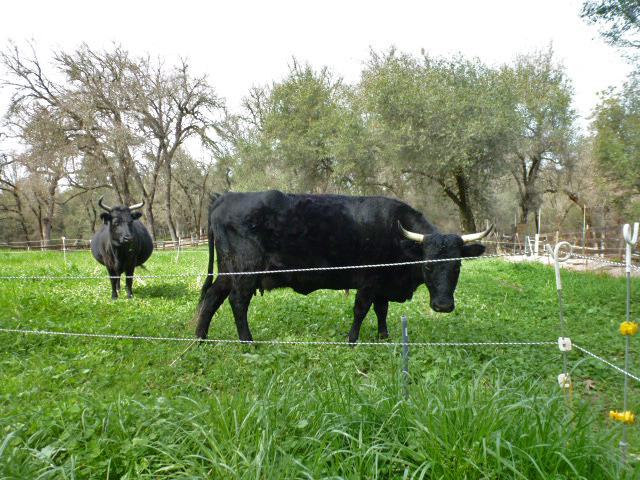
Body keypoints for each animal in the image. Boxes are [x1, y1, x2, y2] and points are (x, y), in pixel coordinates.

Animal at [194, 190, 491, 343]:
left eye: (457, 266)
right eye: (428, 265)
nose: (443, 305)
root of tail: (226, 197)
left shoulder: (383, 284)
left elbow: (381, 311)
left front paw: (383, 337)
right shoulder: (369, 280)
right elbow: (361, 310)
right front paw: (353, 339)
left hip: (227, 270)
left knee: (212, 297)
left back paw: (200, 338)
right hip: (245, 271)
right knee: (238, 302)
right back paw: (247, 341)